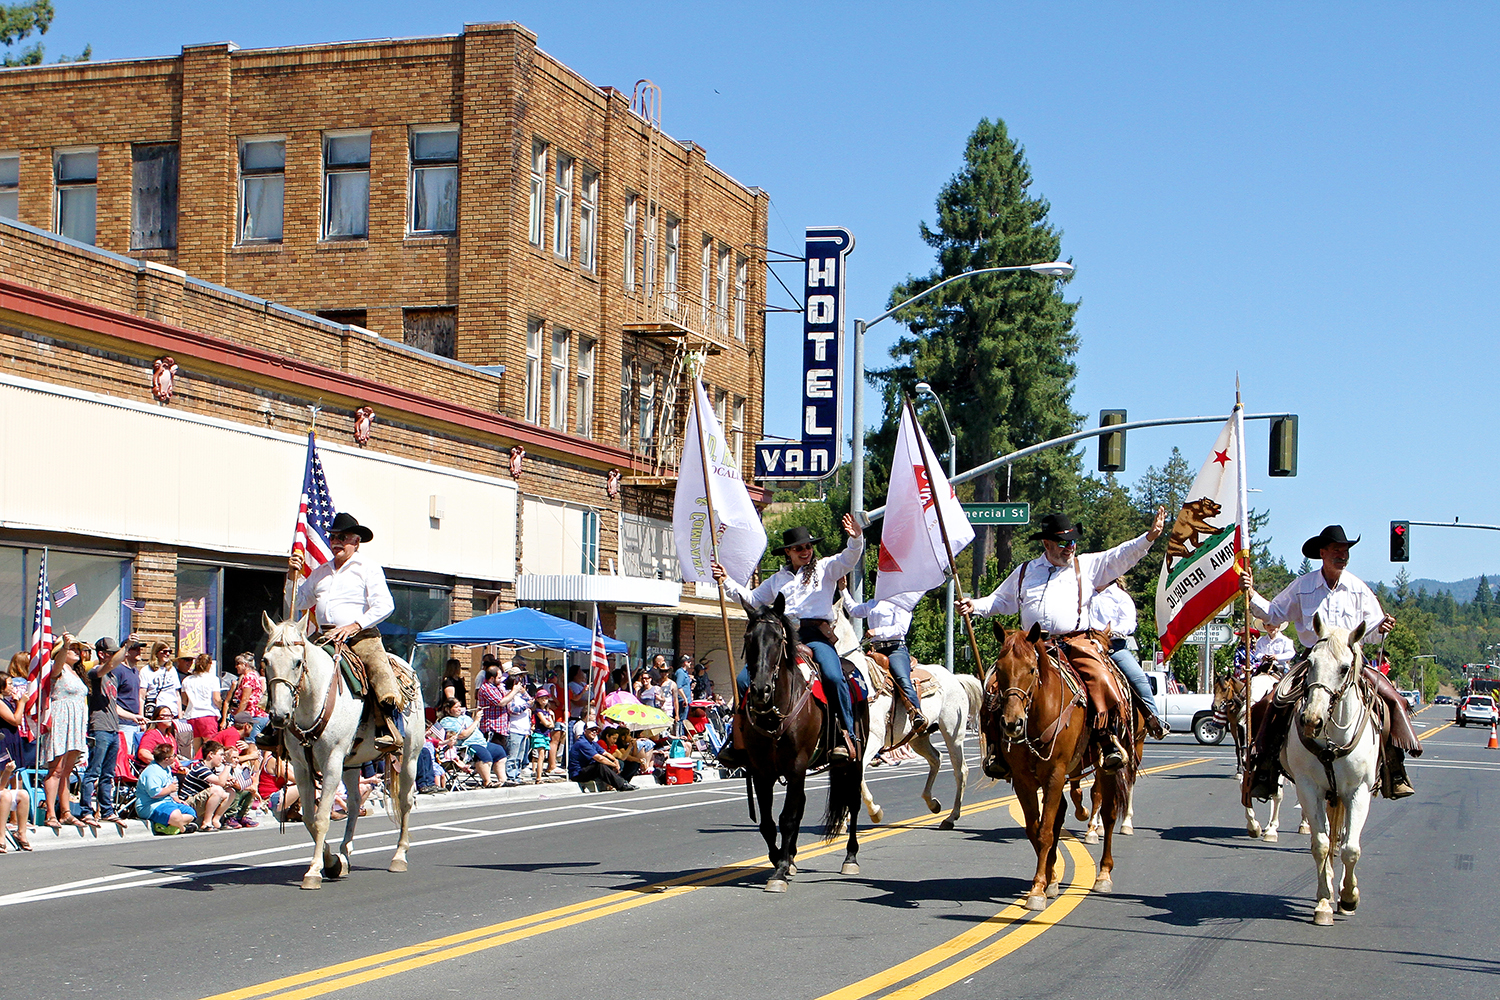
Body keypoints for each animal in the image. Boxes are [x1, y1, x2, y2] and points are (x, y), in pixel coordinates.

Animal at [262, 611, 423, 893]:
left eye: (297, 662)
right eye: (266, 661)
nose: (280, 716)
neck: (313, 701)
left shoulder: (332, 762)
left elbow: (322, 817)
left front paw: (314, 872)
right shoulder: (302, 767)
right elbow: (309, 817)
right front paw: (332, 862)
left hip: (410, 757)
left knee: (405, 800)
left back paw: (399, 856)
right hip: (352, 764)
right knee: (355, 802)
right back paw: (345, 855)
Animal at [741, 599, 870, 893]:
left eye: (778, 639)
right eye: (748, 638)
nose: (761, 690)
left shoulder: (796, 764)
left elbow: (787, 818)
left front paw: (779, 872)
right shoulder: (761, 771)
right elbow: (768, 823)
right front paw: (781, 859)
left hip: (855, 760)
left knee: (853, 803)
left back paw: (851, 857)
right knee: (800, 804)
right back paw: (792, 856)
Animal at [984, 620, 1128, 911]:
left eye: (1031, 669)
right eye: (1000, 669)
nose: (1012, 723)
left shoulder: (1054, 775)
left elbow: (1046, 832)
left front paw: (1037, 891)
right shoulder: (1024, 781)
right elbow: (1036, 829)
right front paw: (1046, 881)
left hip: (1103, 769)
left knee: (1108, 815)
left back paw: (1104, 875)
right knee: (1061, 814)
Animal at [1278, 617, 1380, 929]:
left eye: (1345, 668)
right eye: (1310, 662)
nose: (1311, 720)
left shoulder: (1358, 792)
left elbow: (1351, 848)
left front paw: (1348, 897)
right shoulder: (1308, 788)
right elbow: (1321, 845)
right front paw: (1324, 901)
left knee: (1345, 839)